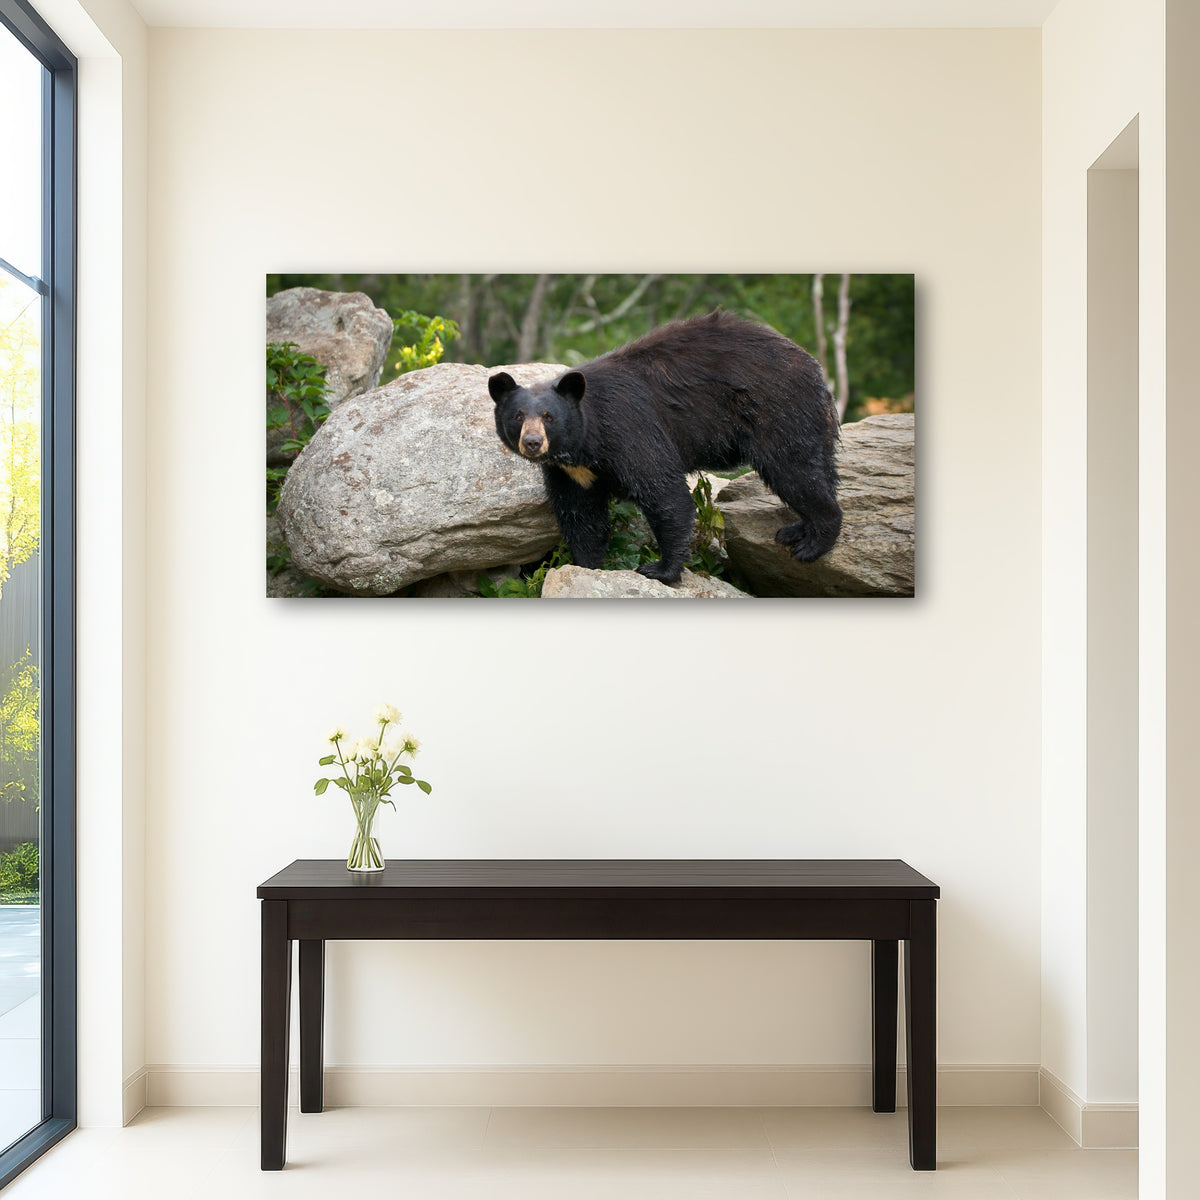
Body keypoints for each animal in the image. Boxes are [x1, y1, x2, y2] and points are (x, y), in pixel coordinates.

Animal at [488, 310, 842, 585]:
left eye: (548, 416)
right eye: (518, 415)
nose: (532, 443)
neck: (585, 444)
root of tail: (815, 369)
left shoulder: (629, 430)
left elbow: (664, 493)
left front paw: (660, 569)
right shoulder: (570, 472)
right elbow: (581, 515)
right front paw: (587, 565)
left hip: (777, 411)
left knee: (793, 471)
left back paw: (813, 543)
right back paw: (797, 530)